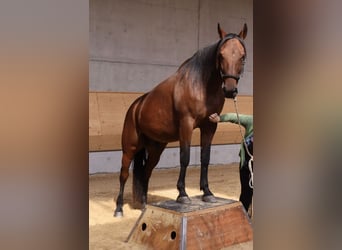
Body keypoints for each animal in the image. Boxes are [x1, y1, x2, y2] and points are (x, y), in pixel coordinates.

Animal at [113, 23, 247, 217]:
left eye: (242, 56)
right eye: (221, 54)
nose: (230, 90)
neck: (201, 85)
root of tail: (136, 106)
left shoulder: (209, 126)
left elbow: (205, 157)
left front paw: (208, 193)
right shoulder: (186, 125)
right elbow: (185, 157)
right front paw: (183, 195)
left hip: (156, 149)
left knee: (146, 173)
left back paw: (145, 205)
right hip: (129, 148)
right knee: (123, 174)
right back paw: (118, 209)